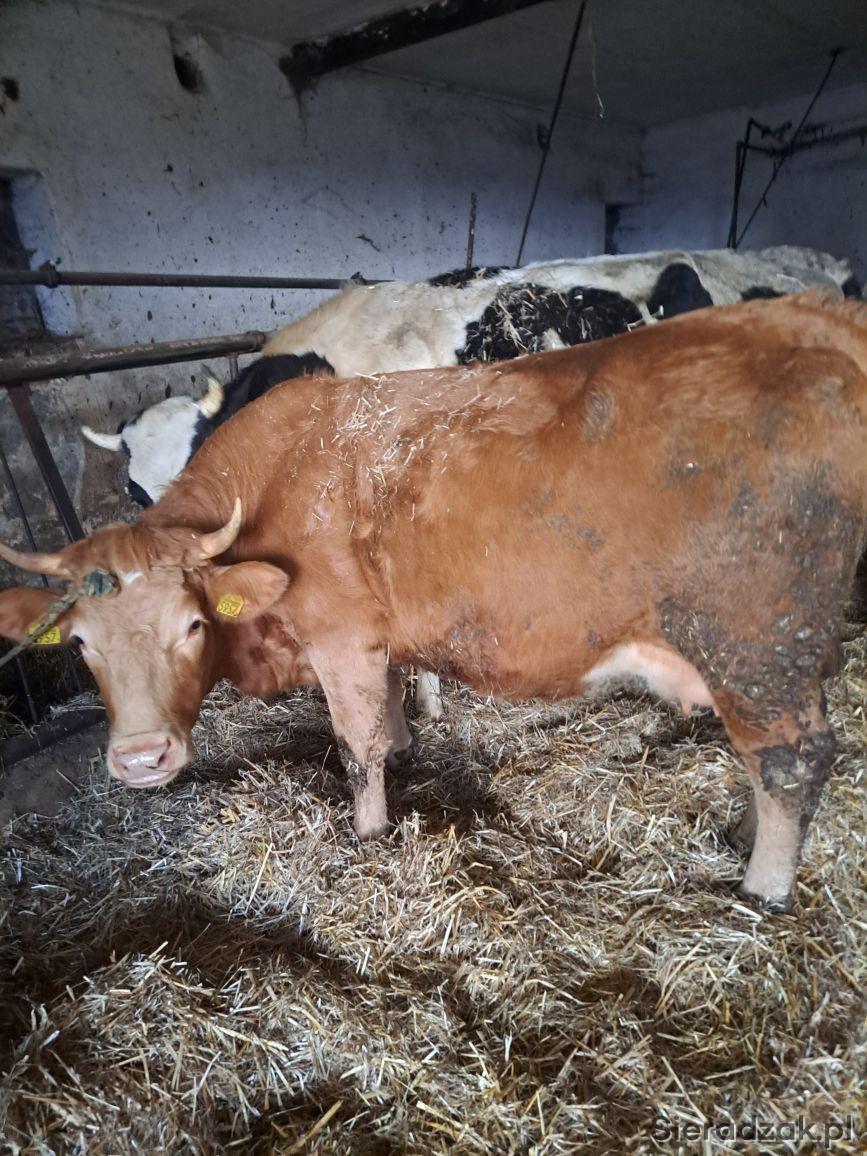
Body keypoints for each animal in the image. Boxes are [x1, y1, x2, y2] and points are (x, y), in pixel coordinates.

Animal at [4, 292, 866, 913]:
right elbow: (388, 710)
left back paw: (761, 890)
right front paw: (406, 753)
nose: (141, 759)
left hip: (756, 636)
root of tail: (809, 313)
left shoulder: (338, 638)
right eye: (79, 645)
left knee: (791, 759)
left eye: (190, 625)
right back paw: (742, 835)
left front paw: (369, 834)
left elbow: (354, 747)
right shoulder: (376, 637)